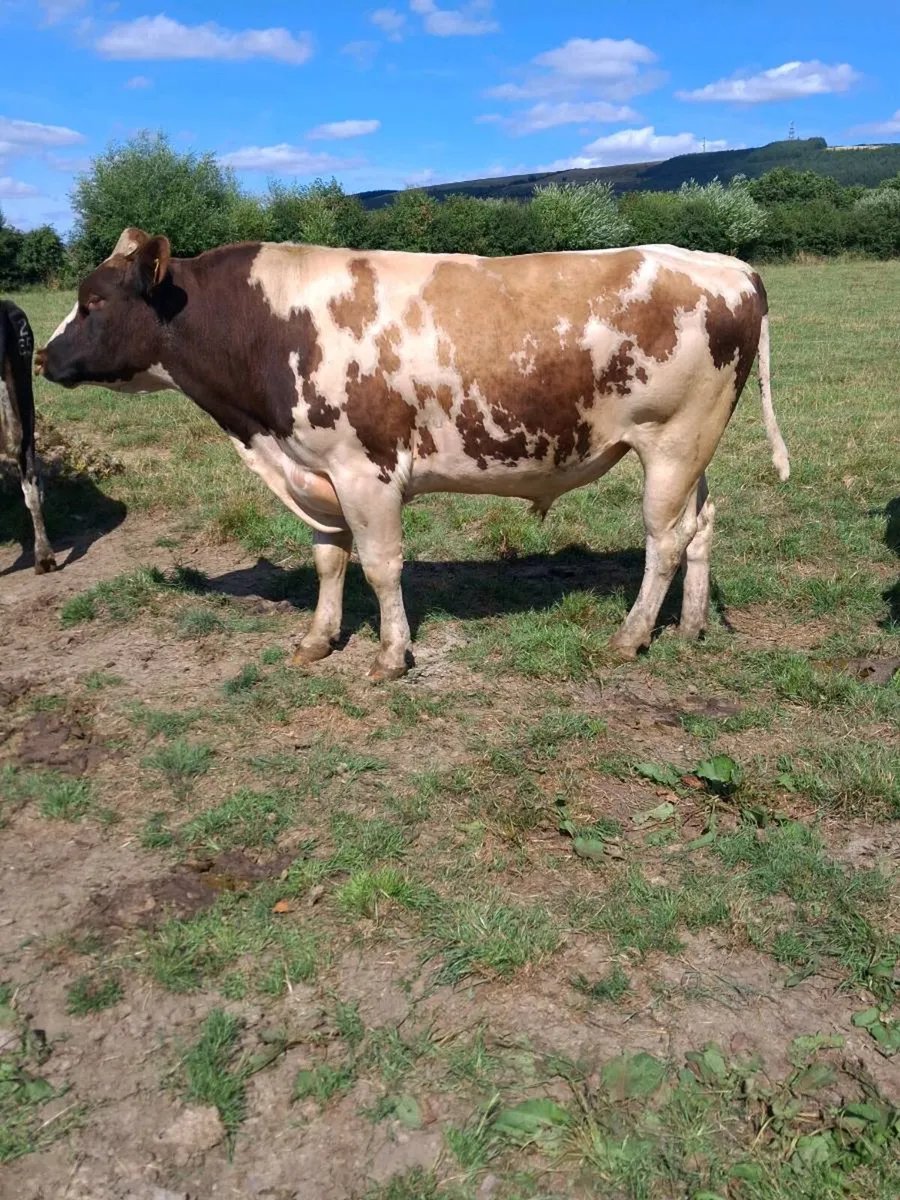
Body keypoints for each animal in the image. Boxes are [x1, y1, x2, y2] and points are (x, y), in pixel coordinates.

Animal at [37, 228, 789, 679]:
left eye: (93, 301)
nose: (43, 357)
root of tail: (726, 265)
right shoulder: (315, 470)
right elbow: (328, 560)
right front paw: (318, 638)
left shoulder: (362, 470)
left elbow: (379, 566)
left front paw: (392, 653)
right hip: (690, 449)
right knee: (701, 525)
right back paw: (688, 626)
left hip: (673, 440)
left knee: (664, 540)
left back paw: (632, 635)